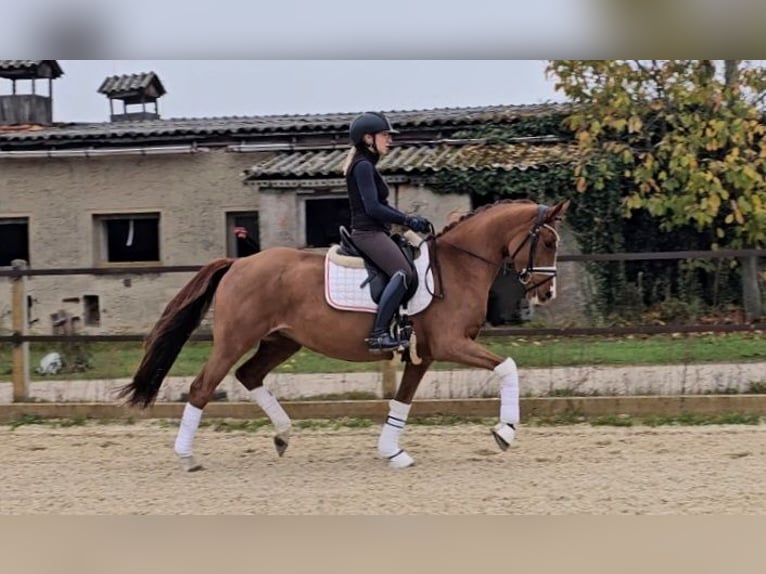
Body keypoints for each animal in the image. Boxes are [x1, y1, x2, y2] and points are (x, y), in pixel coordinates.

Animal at [120, 198, 568, 472]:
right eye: (547, 241)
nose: (547, 293)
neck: (458, 267)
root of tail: (238, 263)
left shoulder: (423, 354)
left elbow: (401, 401)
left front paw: (393, 452)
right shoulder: (452, 344)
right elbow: (508, 367)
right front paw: (505, 433)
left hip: (282, 340)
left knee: (249, 376)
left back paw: (282, 435)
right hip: (235, 340)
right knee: (202, 387)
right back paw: (187, 457)